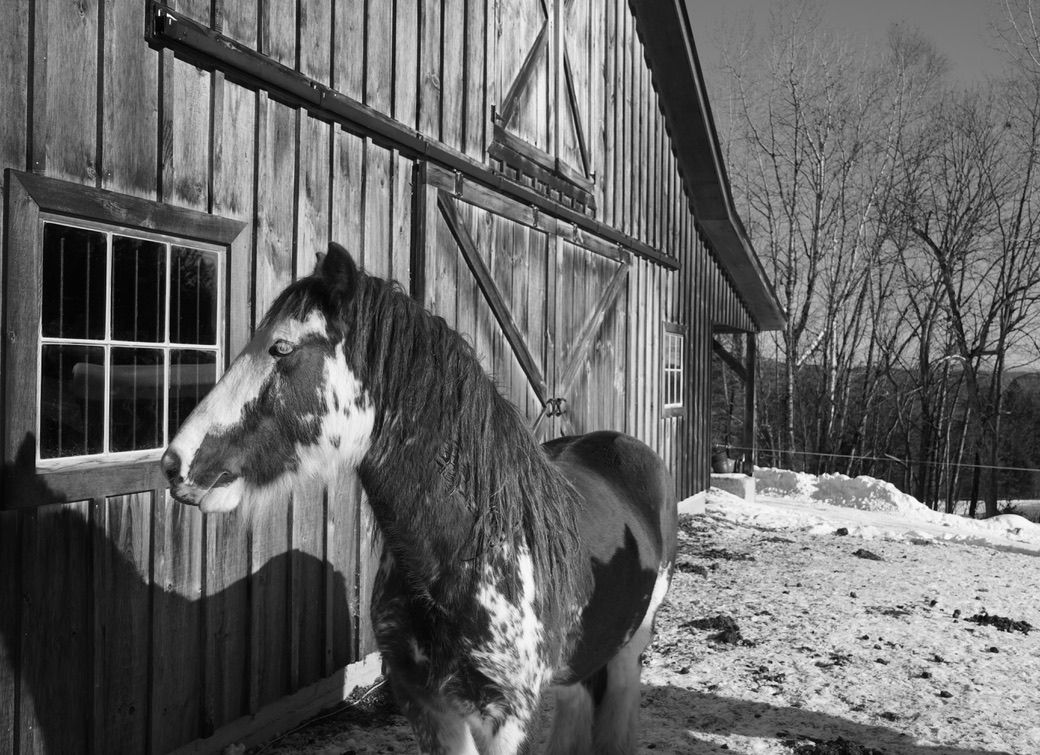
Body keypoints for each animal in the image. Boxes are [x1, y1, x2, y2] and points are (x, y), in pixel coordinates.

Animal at [161, 242, 677, 754]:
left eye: (281, 347)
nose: (174, 463)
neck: (467, 555)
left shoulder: (503, 718)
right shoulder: (422, 701)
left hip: (633, 642)